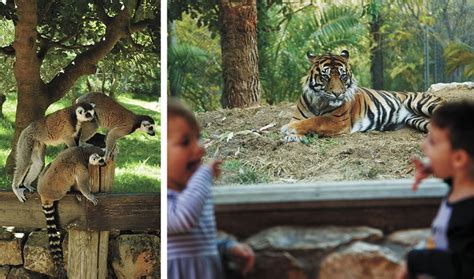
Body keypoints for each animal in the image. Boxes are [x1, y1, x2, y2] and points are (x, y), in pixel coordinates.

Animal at [282, 49, 444, 142]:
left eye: (343, 76)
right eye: (325, 77)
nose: (337, 94)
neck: (319, 102)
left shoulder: (338, 120)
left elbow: (316, 121)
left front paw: (288, 129)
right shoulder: (298, 116)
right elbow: (305, 121)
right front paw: (293, 134)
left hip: (424, 104)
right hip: (418, 120)